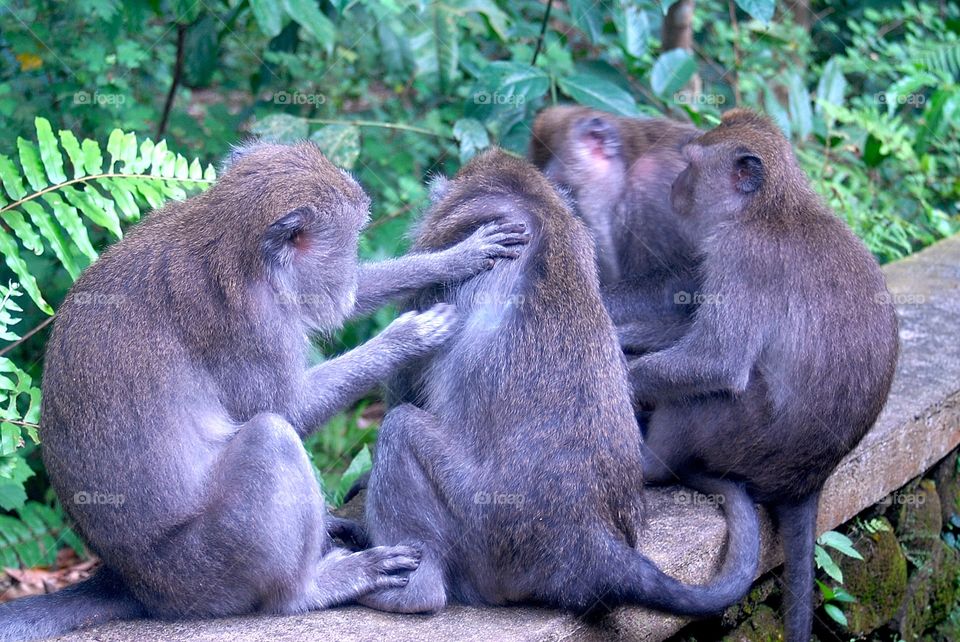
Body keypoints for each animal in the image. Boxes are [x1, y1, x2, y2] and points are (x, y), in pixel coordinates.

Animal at [0, 139, 532, 636]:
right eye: (351, 240)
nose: (346, 270)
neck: (233, 243)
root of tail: (137, 585)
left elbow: (353, 300)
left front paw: (456, 256)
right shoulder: (253, 327)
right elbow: (289, 409)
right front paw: (408, 336)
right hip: (209, 567)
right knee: (270, 436)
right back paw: (309, 590)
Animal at [352, 148, 756, 616]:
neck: (527, 198)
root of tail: (592, 543)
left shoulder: (440, 257)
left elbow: (405, 383)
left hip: (484, 530)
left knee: (400, 428)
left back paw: (411, 592)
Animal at [632, 110, 900, 640]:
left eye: (691, 165)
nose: (675, 185)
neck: (768, 209)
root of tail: (809, 481)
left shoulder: (742, 255)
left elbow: (716, 361)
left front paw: (626, 382)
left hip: (743, 436)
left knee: (712, 392)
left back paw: (650, 462)